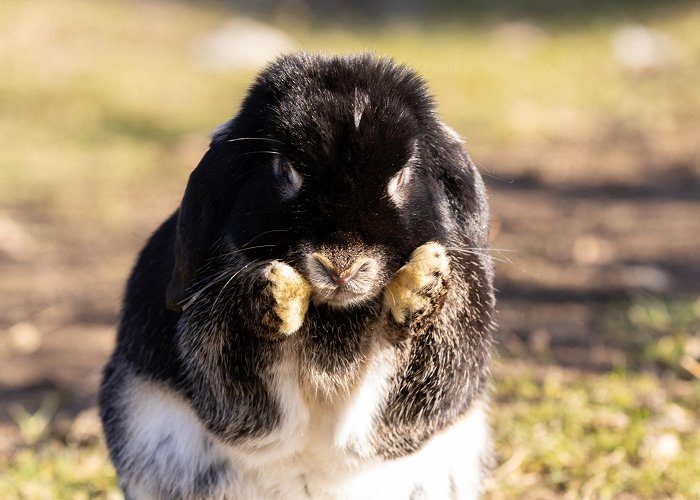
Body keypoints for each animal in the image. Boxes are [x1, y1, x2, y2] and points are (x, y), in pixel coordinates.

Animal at [101, 52, 498, 498]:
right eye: (285, 168)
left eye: (402, 175)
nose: (341, 266)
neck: (336, 314)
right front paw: (276, 293)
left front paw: (424, 283)